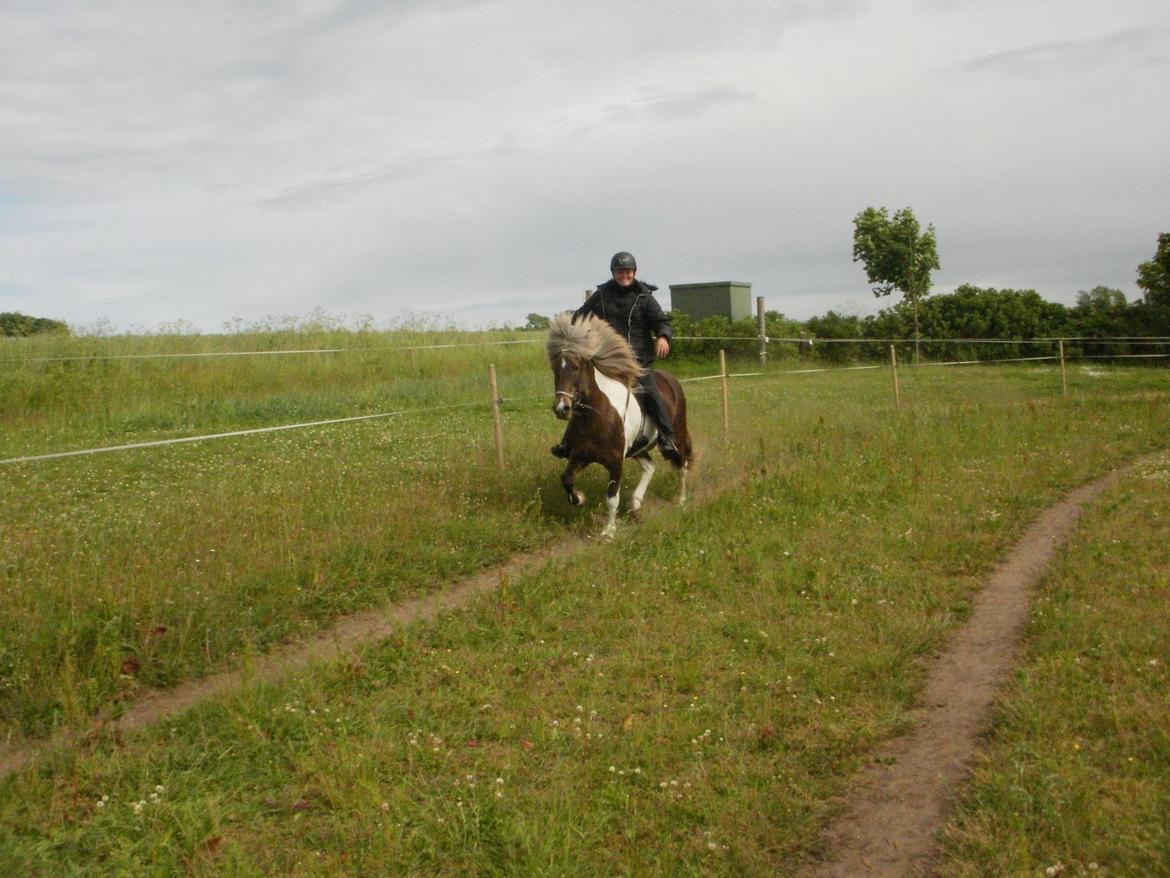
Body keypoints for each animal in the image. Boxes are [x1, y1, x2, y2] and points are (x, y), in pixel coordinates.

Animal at [542, 313, 687, 540]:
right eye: (554, 369)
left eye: (576, 367)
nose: (561, 408)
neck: (596, 416)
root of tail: (671, 379)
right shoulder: (580, 455)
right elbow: (565, 478)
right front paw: (579, 498)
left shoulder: (616, 462)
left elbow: (611, 498)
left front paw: (609, 532)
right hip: (638, 448)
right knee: (650, 467)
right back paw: (635, 503)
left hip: (677, 436)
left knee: (682, 465)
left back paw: (681, 500)